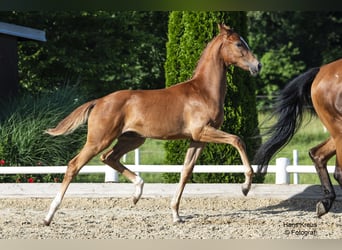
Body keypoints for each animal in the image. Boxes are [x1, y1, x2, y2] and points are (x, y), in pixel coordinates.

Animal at [43, 24, 262, 226]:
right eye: (239, 44)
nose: (258, 66)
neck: (203, 92)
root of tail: (99, 101)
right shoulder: (203, 132)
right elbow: (237, 140)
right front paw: (245, 187)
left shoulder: (197, 139)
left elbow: (186, 171)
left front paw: (176, 214)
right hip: (99, 140)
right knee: (74, 165)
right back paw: (48, 216)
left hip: (133, 139)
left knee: (109, 158)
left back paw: (137, 192)